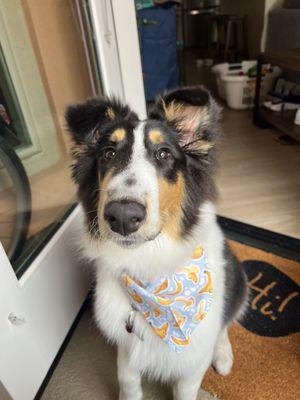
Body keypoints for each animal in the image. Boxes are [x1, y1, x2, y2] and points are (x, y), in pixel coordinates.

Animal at [67, 87, 247, 400]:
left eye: (163, 153)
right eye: (108, 153)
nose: (122, 216)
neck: (149, 268)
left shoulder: (192, 363)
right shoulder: (127, 349)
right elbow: (127, 381)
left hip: (238, 279)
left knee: (226, 322)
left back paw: (223, 356)